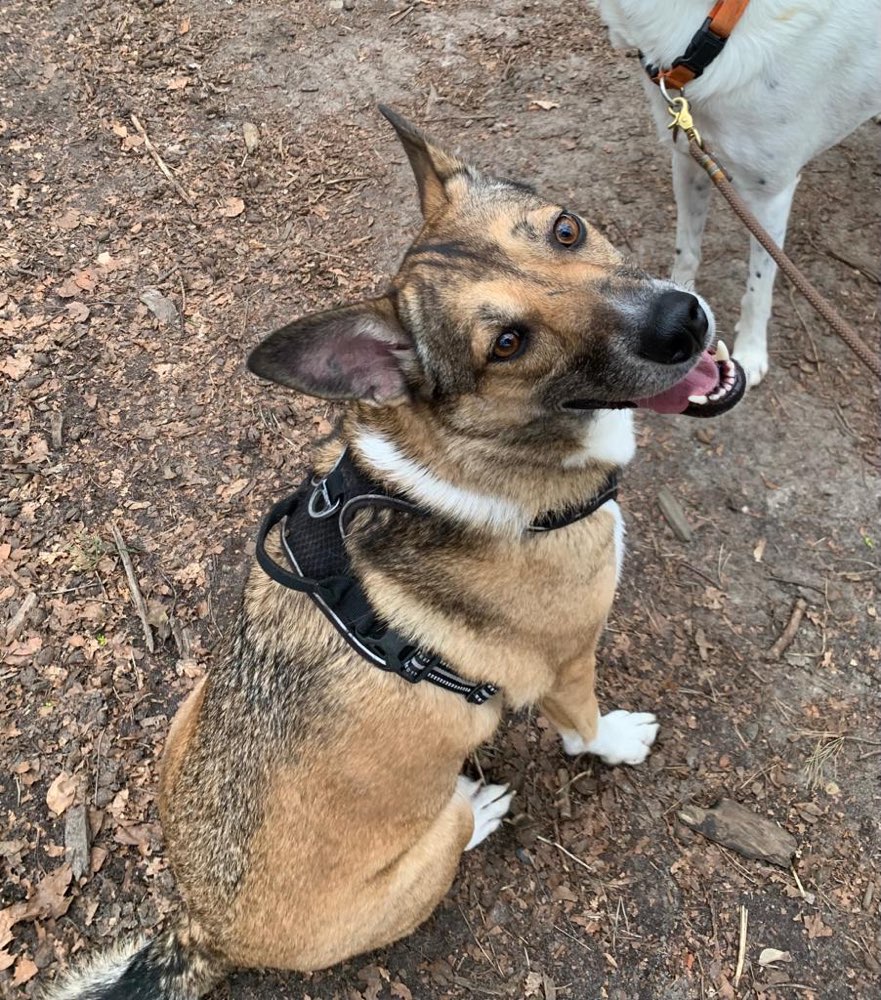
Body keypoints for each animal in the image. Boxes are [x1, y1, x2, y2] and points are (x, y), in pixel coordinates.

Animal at [48, 109, 744, 1000]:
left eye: (565, 229)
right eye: (507, 343)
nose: (680, 322)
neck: (473, 458)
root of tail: (200, 931)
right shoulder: (565, 665)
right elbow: (585, 728)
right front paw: (617, 742)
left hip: (190, 709)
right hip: (429, 850)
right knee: (456, 825)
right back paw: (478, 809)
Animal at [596, 0, 876, 386]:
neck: (714, 26)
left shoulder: (770, 195)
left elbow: (760, 284)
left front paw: (752, 351)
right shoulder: (692, 159)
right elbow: (687, 249)